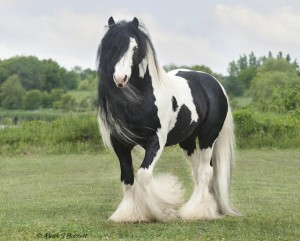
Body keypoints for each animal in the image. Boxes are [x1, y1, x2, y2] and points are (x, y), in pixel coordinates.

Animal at [97, 17, 240, 223]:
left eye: (134, 47)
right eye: (109, 46)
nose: (120, 78)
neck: (141, 99)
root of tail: (214, 82)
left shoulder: (156, 140)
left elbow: (144, 175)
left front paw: (160, 211)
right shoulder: (120, 144)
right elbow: (128, 178)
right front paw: (130, 214)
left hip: (208, 137)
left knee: (206, 171)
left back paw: (197, 211)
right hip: (187, 142)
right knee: (198, 171)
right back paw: (207, 206)